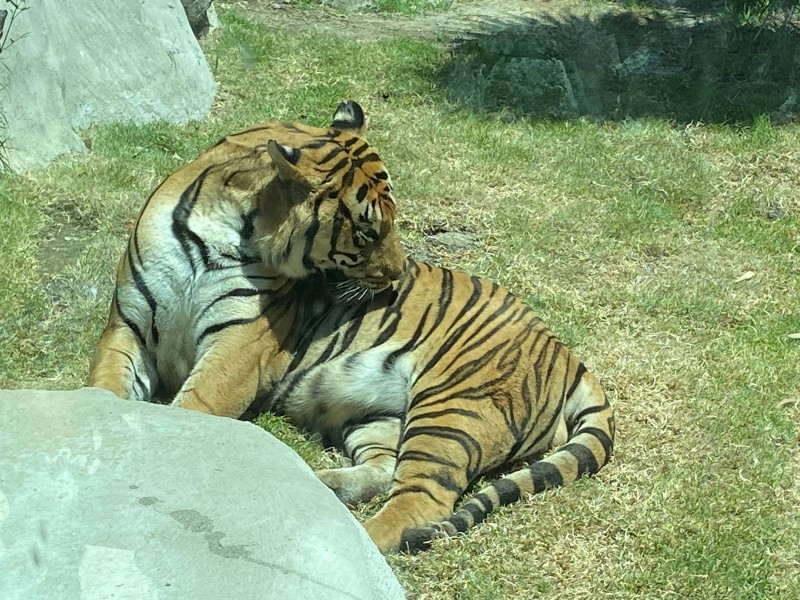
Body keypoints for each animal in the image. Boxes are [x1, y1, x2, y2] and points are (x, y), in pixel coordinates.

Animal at [87, 99, 616, 552]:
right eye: (365, 231)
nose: (398, 275)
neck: (227, 220)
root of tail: (569, 356)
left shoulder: (238, 350)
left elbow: (191, 411)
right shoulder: (127, 326)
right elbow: (104, 391)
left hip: (454, 407)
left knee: (420, 501)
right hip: (377, 417)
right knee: (385, 469)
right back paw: (318, 486)